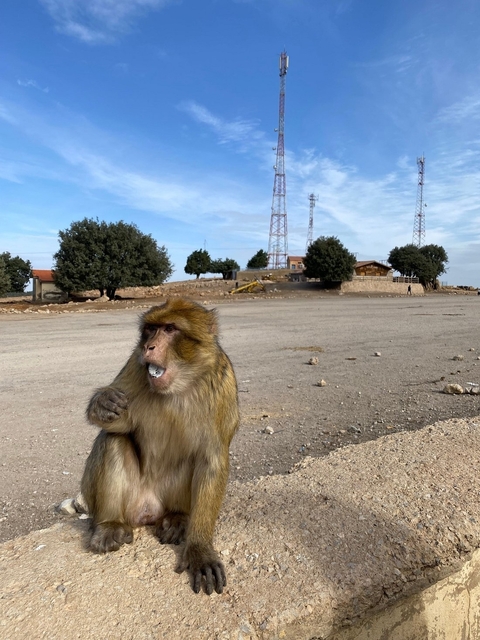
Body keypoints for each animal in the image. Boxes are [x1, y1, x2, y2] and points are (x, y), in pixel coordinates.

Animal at [81, 298, 239, 595]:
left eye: (169, 329)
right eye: (150, 329)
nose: (148, 347)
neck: (179, 385)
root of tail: (148, 511)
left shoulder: (223, 386)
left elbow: (211, 461)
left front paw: (199, 548)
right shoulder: (135, 366)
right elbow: (118, 425)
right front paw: (102, 402)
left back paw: (178, 518)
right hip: (129, 502)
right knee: (113, 440)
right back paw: (108, 525)